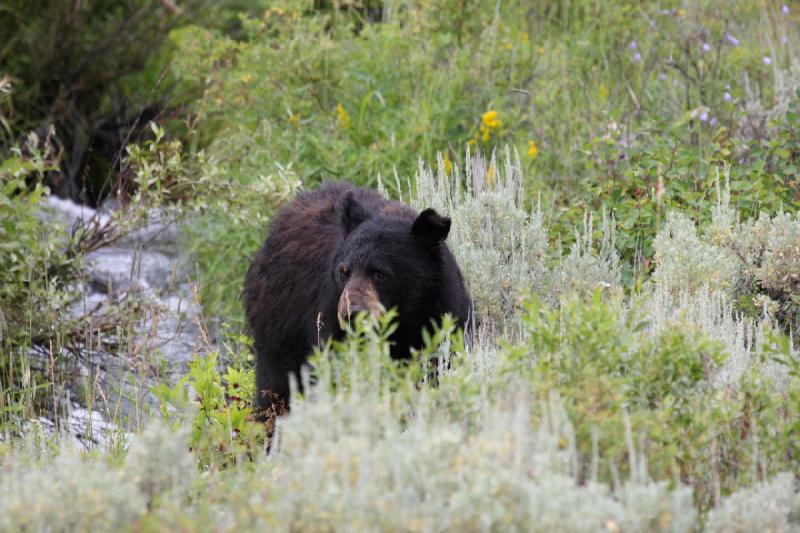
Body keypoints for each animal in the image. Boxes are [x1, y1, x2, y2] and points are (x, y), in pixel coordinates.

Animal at [244, 183, 468, 420]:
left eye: (380, 274)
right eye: (344, 271)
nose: (353, 315)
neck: (405, 318)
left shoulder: (442, 311)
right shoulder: (329, 318)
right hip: (278, 322)